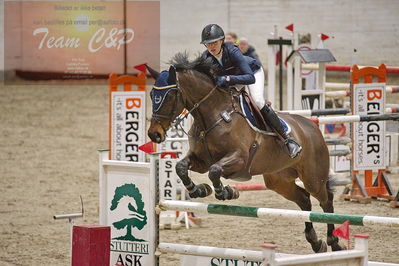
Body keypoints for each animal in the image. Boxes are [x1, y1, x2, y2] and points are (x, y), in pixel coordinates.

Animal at [147, 52, 346, 254]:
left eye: (169, 96)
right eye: (152, 94)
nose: (154, 134)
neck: (214, 114)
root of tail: (312, 127)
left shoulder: (239, 159)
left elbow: (215, 170)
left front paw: (226, 192)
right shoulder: (201, 161)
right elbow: (181, 167)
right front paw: (199, 190)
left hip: (313, 178)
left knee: (325, 201)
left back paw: (334, 242)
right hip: (279, 181)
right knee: (304, 200)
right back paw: (315, 241)